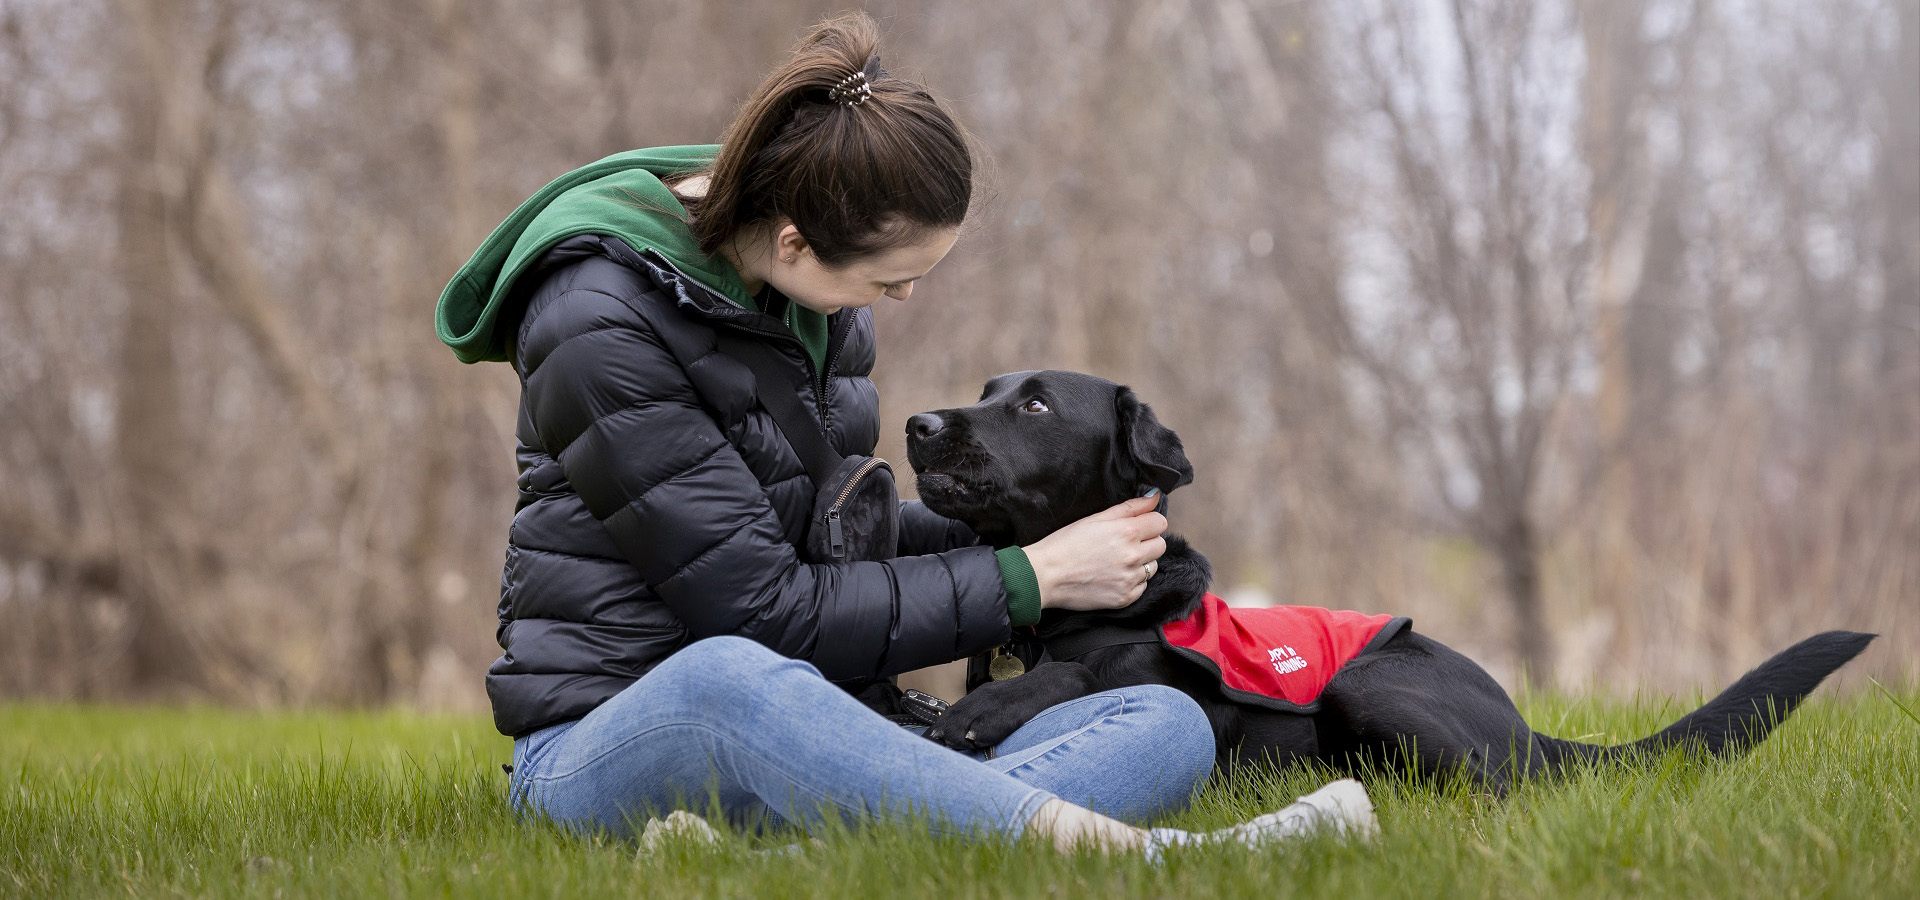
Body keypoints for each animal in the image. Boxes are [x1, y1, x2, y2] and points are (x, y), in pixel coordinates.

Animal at [910, 368, 1873, 790]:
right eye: (988, 387)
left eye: (1034, 404)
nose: (917, 423)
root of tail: (1527, 727)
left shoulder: (1174, 688)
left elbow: (1077, 675)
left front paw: (981, 709)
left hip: (1373, 685)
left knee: (1512, 789)